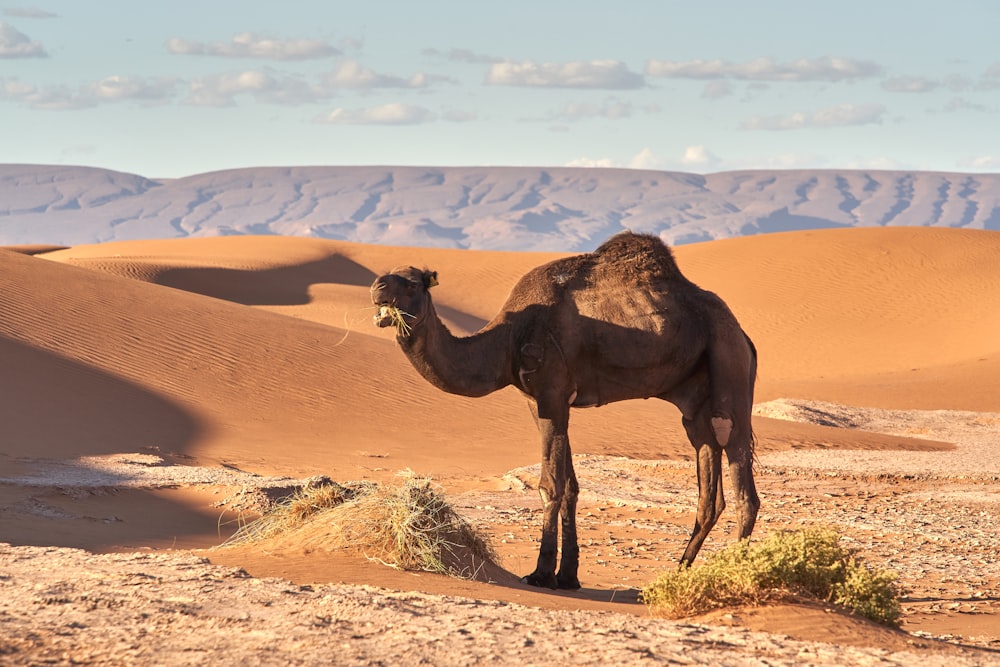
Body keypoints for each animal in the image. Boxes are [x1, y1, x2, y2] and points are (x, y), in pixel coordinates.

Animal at [374, 234, 756, 588]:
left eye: (412, 282)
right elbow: (570, 484)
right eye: (389, 274)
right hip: (694, 401)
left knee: (741, 476)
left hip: (728, 359)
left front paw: (541, 573)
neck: (506, 340)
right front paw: (568, 575)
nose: (378, 287)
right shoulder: (538, 400)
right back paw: (679, 572)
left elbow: (550, 484)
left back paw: (737, 572)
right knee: (709, 481)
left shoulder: (552, 393)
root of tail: (745, 336)